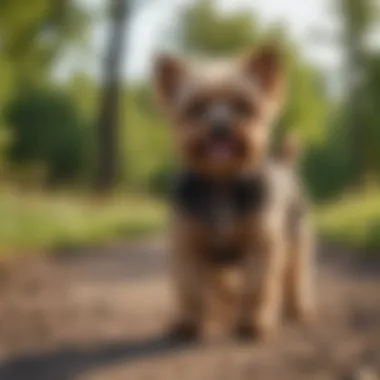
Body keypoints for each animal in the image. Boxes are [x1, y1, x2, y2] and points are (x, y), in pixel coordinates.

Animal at [153, 44, 316, 342]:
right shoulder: (188, 245)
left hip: (297, 238)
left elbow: (257, 287)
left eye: (243, 106)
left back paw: (298, 308)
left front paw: (253, 323)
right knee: (221, 284)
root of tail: (284, 163)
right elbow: (191, 288)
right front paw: (189, 323)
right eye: (196, 108)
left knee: (295, 274)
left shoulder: (262, 244)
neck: (222, 182)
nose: (219, 127)